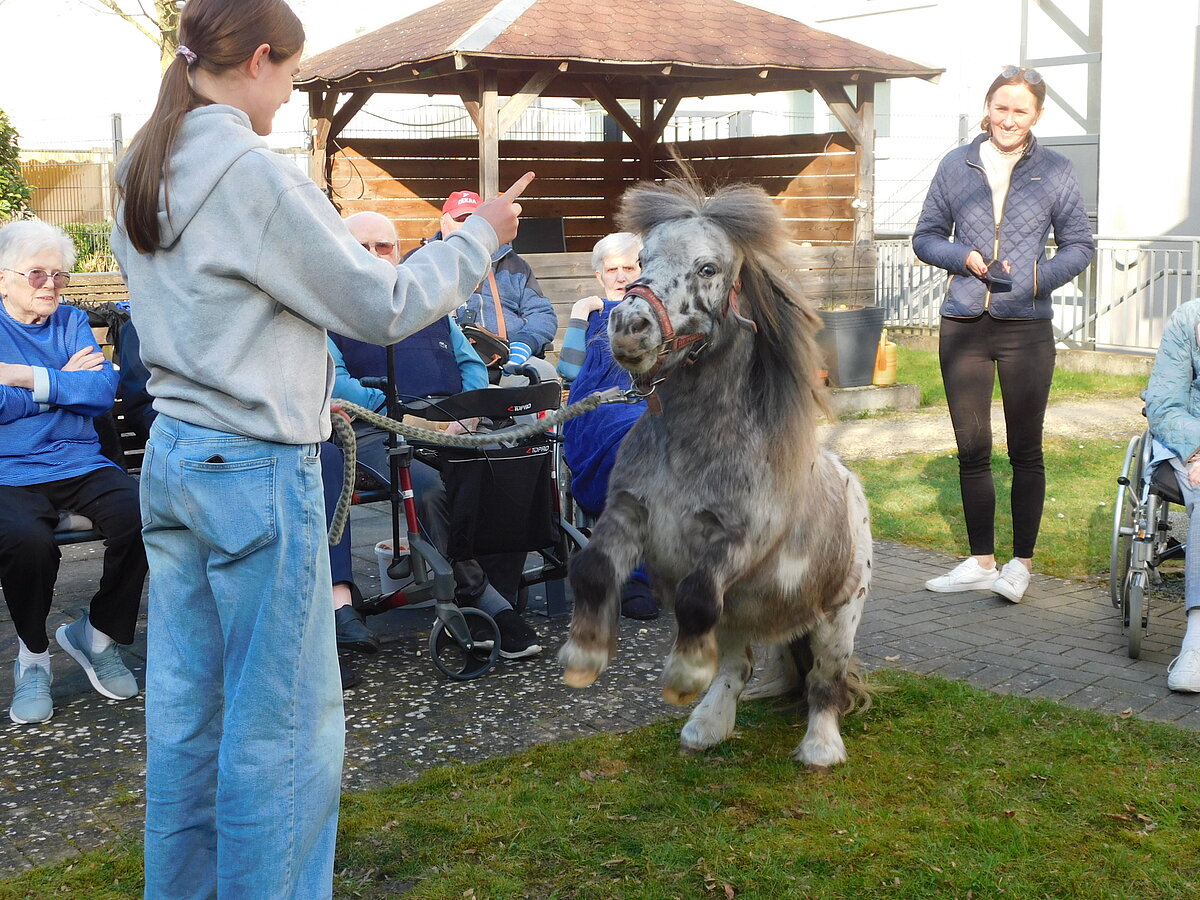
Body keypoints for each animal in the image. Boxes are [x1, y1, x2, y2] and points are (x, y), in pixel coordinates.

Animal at [557, 179, 873, 768]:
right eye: (642, 260)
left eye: (707, 267)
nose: (628, 327)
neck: (691, 448)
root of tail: (851, 487)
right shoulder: (628, 513)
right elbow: (590, 568)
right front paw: (583, 657)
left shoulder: (739, 538)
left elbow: (696, 594)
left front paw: (681, 676)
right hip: (739, 617)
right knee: (737, 666)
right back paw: (706, 726)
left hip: (839, 615)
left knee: (826, 681)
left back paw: (820, 748)